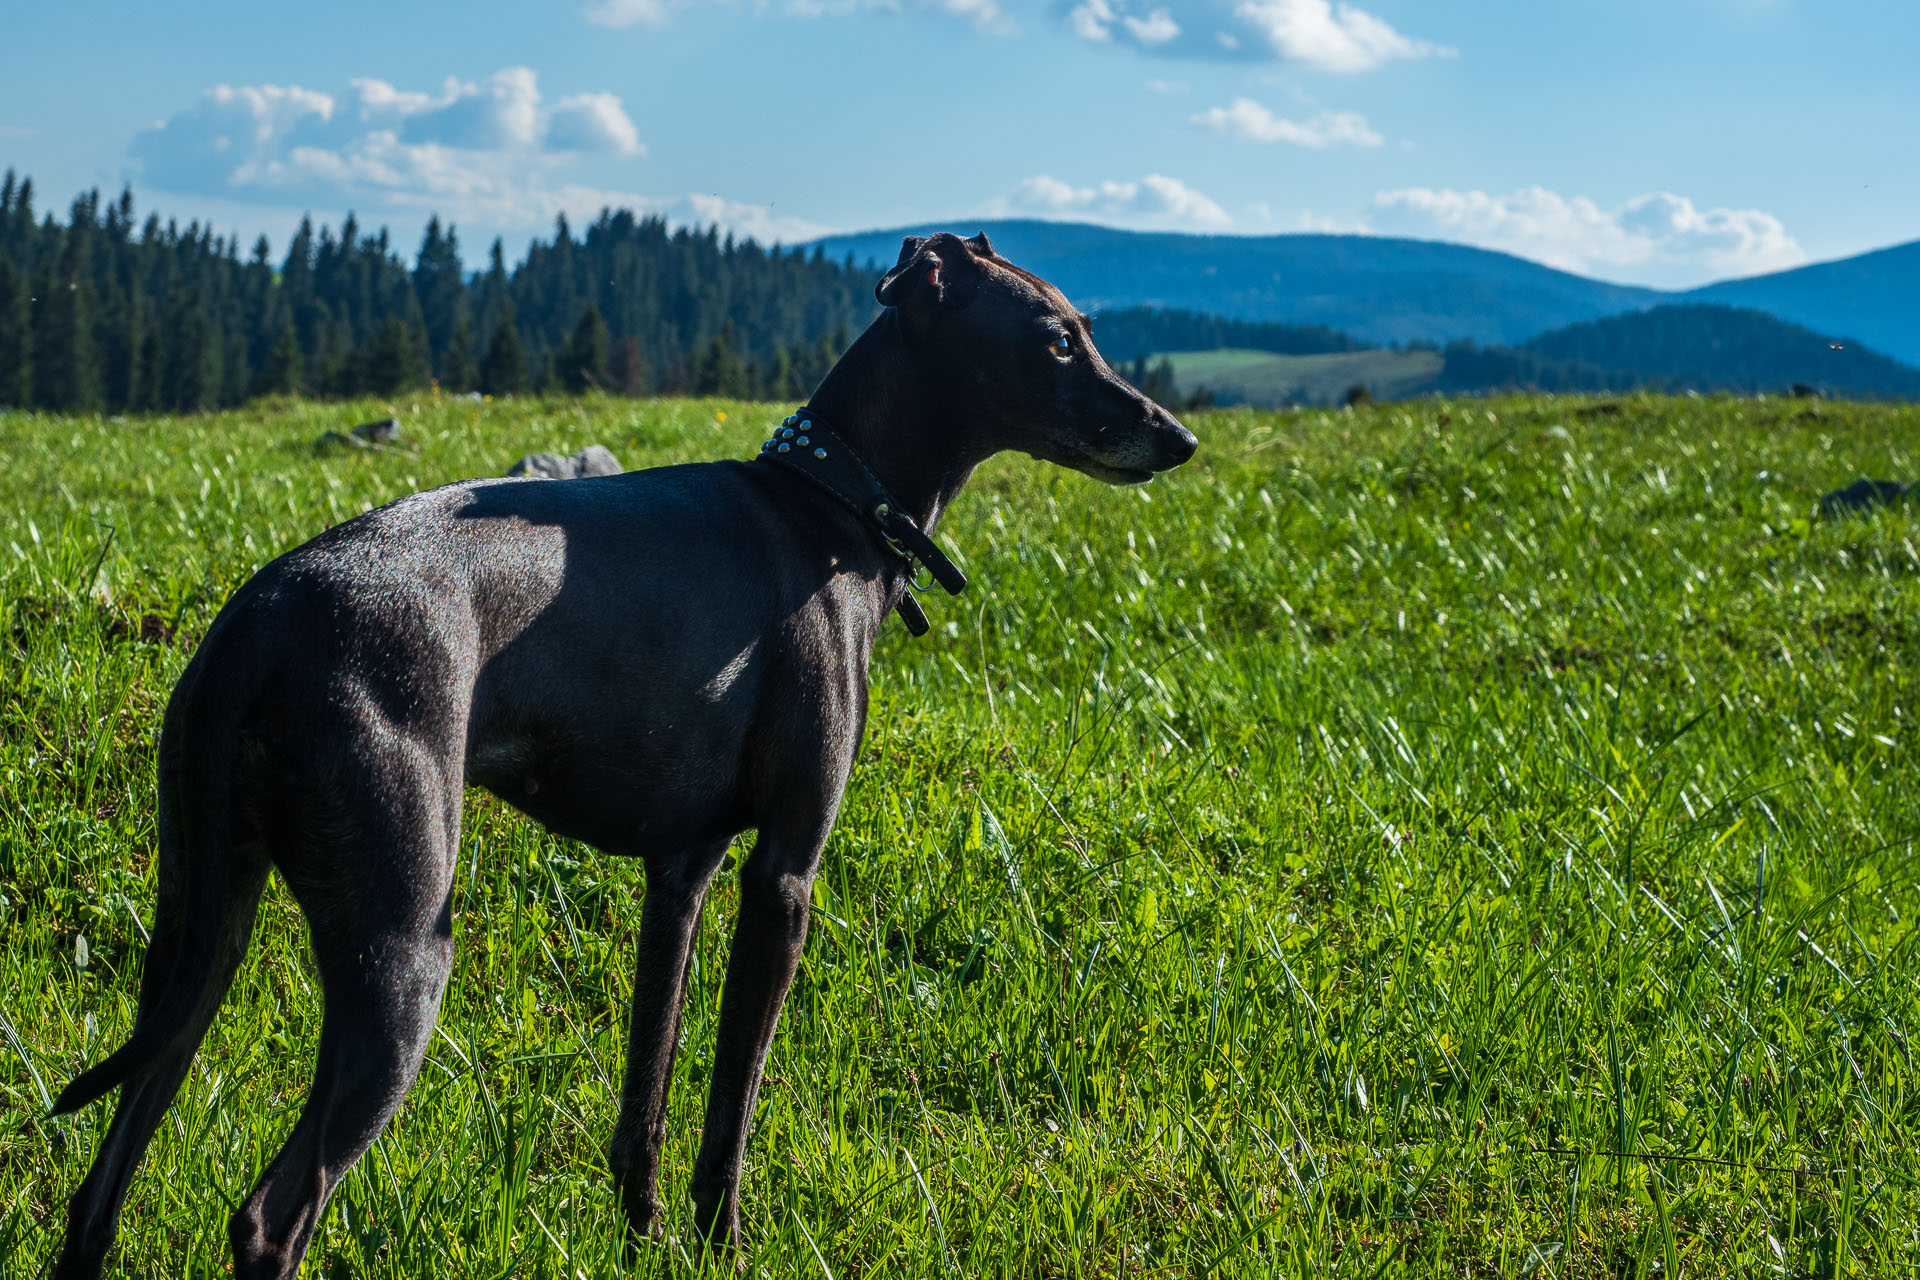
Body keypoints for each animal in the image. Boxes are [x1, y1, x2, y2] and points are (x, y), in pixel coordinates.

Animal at [52, 233, 1190, 1280]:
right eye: (1058, 338)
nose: (1176, 437)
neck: (830, 505)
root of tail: (257, 619)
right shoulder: (784, 875)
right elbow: (733, 1101)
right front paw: (724, 1245)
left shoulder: (679, 872)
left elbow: (648, 1086)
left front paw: (645, 1239)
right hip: (402, 952)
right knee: (270, 1216)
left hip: (198, 941)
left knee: (98, 1187)